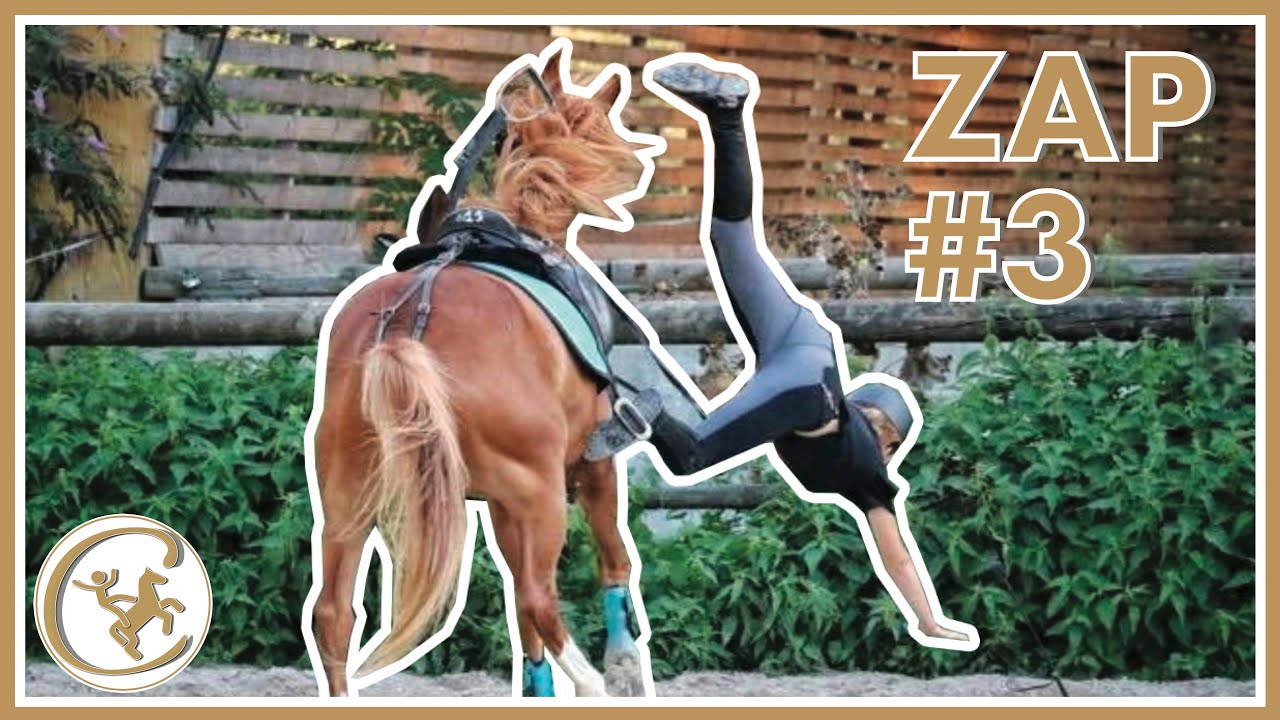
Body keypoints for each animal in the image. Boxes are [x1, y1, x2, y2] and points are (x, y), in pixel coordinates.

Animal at [305, 45, 657, 698]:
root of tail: (404, 331)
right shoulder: (594, 465)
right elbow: (612, 562)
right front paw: (624, 665)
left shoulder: (497, 502)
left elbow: (521, 613)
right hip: (543, 497)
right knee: (543, 597)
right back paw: (594, 683)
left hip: (347, 499)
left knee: (333, 614)